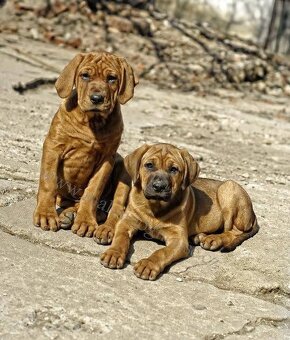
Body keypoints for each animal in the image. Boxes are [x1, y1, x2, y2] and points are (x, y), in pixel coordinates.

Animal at [33, 52, 138, 239]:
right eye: (85, 76)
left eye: (112, 78)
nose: (97, 98)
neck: (91, 122)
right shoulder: (53, 147)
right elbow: (48, 182)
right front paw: (46, 213)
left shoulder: (106, 159)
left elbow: (92, 192)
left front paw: (86, 221)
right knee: (69, 201)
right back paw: (68, 215)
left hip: (123, 169)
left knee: (116, 209)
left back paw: (101, 226)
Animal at [101, 142, 260, 280]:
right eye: (149, 165)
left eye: (174, 169)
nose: (159, 186)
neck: (155, 207)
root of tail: (253, 214)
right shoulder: (127, 221)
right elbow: (120, 237)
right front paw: (114, 253)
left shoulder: (178, 239)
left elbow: (162, 252)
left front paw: (148, 264)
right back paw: (198, 237)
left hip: (229, 188)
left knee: (234, 231)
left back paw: (213, 239)